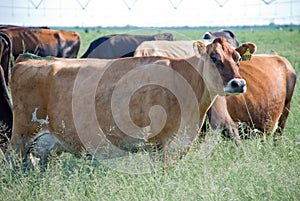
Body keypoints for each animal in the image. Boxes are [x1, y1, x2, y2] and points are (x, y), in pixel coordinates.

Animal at [9, 38, 253, 163]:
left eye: (238, 59)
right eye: (214, 58)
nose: (238, 83)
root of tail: (26, 60)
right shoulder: (159, 146)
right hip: (20, 139)